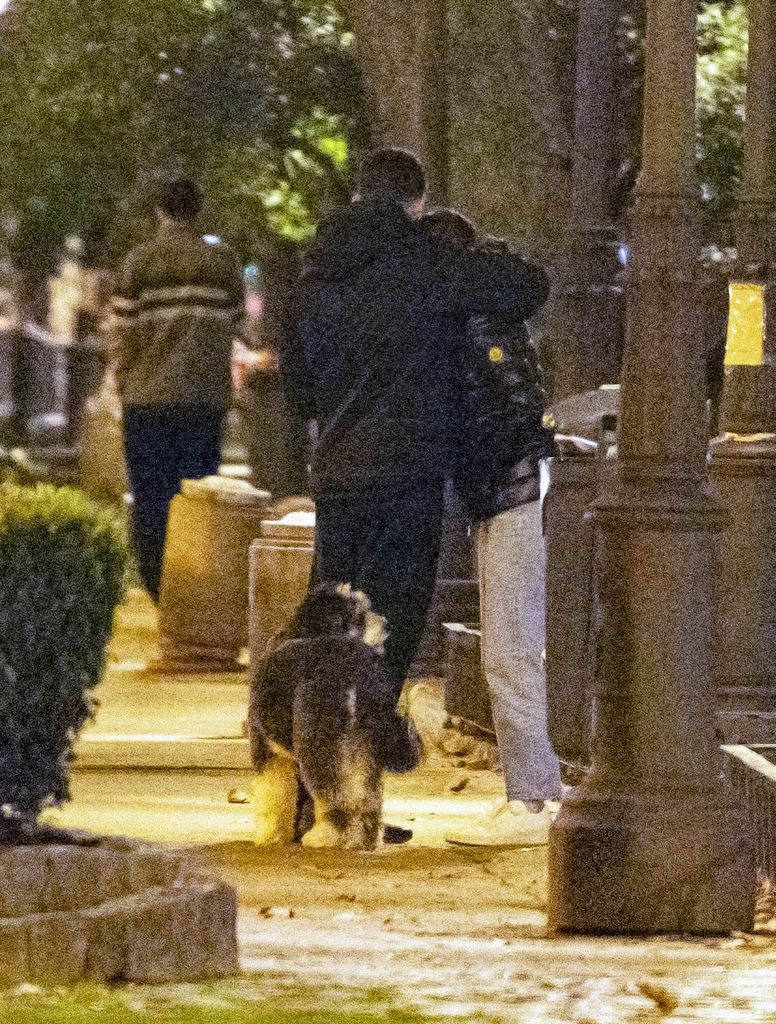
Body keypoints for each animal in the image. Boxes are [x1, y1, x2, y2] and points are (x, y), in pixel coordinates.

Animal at [248, 581, 421, 851]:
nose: (387, 624)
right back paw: (366, 840)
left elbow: (274, 794)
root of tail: (358, 667)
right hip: (366, 747)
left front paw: (270, 834)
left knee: (334, 794)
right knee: (368, 798)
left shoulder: (266, 747)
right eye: (361, 613)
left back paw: (326, 836)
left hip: (318, 740)